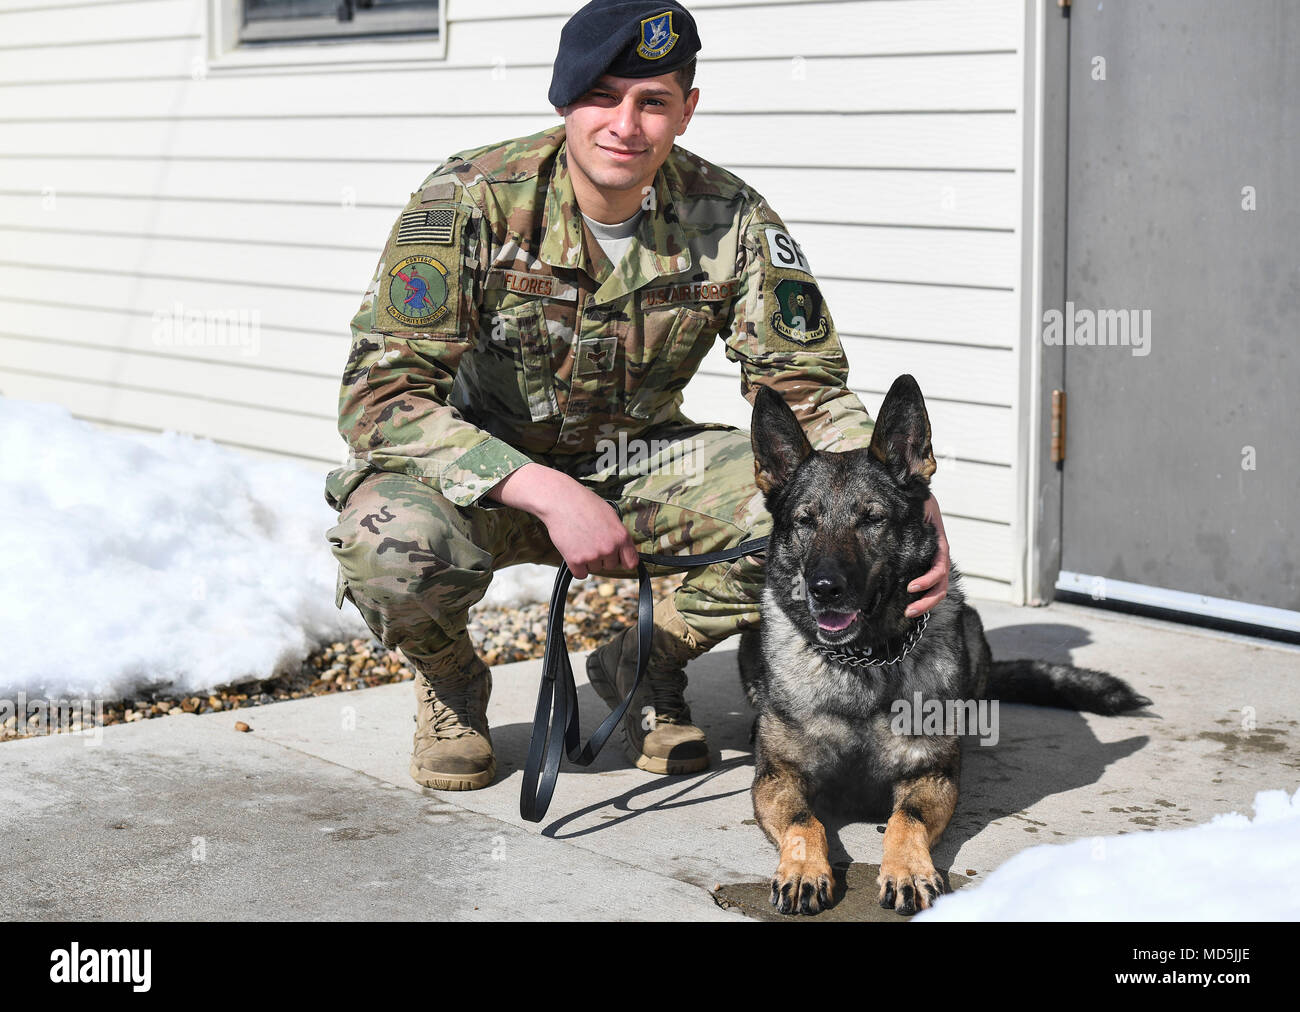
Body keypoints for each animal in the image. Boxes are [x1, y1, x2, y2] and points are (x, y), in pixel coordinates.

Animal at [738, 374, 1154, 910]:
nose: (824, 588)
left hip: (972, 631)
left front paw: (908, 871)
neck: (864, 662)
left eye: (872, 519)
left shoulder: (930, 778)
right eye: (805, 521)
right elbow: (803, 821)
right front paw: (806, 869)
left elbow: (905, 820)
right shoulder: (778, 778)